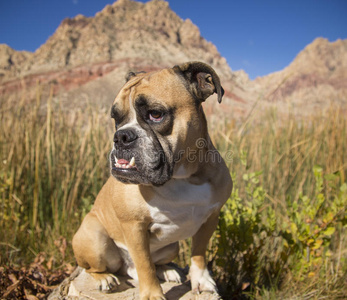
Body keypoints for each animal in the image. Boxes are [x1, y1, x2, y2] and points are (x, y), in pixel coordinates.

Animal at [72, 61, 232, 300]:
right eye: (116, 118)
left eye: (155, 114)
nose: (121, 136)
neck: (181, 177)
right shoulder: (134, 227)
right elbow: (144, 264)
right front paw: (152, 295)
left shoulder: (211, 218)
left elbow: (199, 253)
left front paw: (202, 280)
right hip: (95, 238)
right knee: (95, 267)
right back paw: (105, 279)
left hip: (172, 246)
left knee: (156, 262)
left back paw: (167, 270)